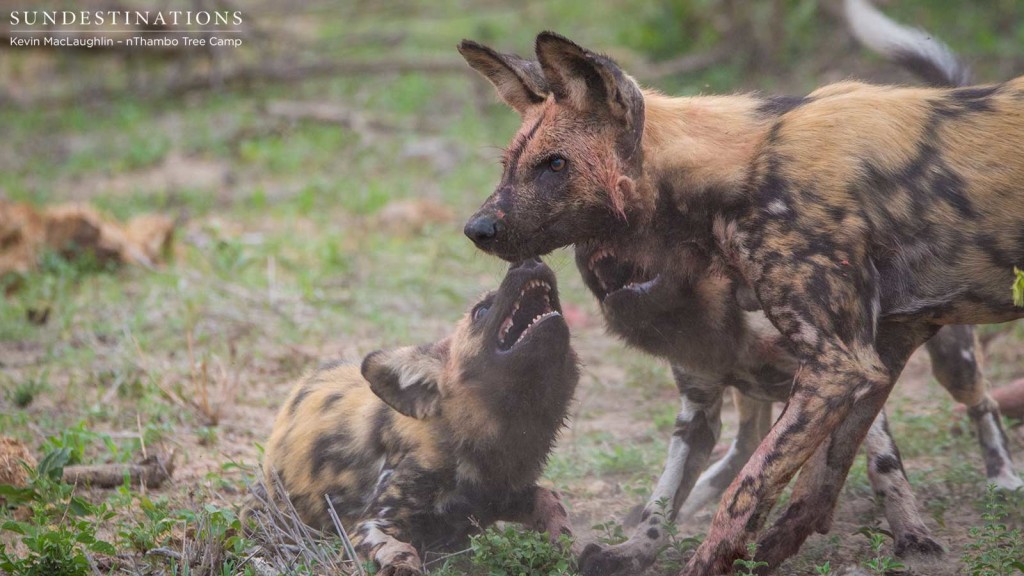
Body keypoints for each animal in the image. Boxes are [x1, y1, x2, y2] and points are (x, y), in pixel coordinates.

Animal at [258, 256, 577, 573]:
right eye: (481, 310)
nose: (530, 259)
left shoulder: (503, 496)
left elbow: (551, 502)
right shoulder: (367, 527)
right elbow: (401, 553)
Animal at [458, 8, 1024, 573]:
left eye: (555, 164)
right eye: (509, 164)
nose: (476, 229)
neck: (731, 175)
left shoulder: (838, 367)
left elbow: (759, 491)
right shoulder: (840, 365)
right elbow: (720, 494)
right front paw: (660, 549)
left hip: (951, 357)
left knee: (983, 403)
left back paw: (1003, 477)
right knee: (747, 437)